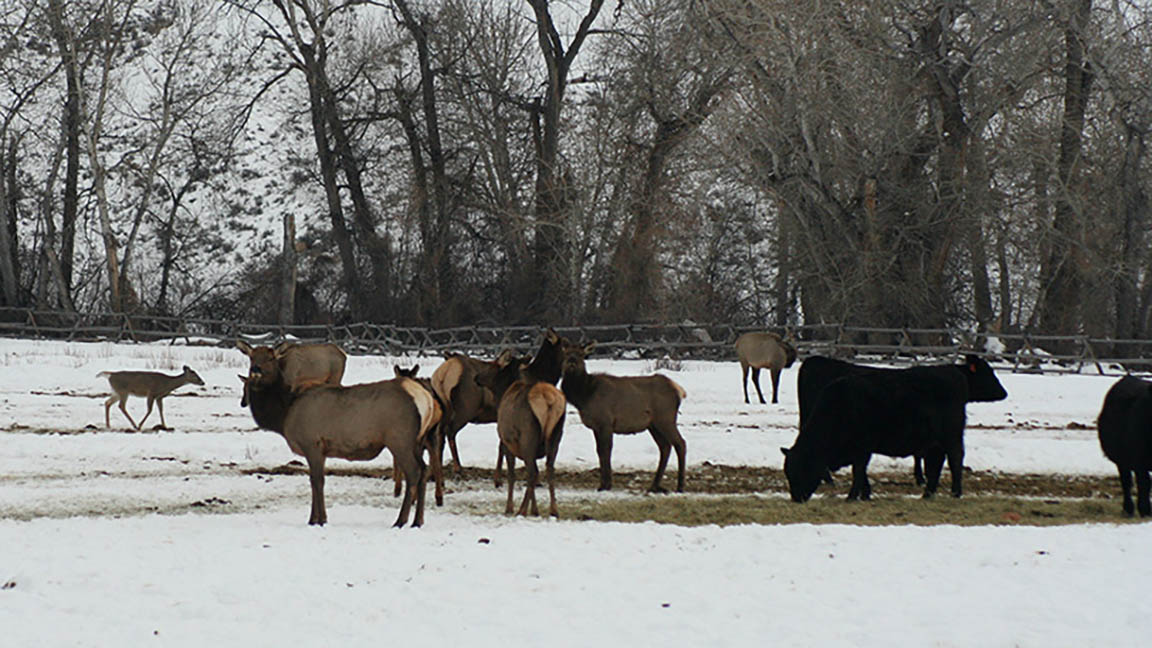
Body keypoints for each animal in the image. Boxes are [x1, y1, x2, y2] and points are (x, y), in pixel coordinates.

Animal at [241, 348, 433, 525]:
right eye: (251, 357)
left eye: (271, 358)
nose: (256, 369)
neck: (284, 413)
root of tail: (426, 399)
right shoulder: (322, 450)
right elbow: (315, 482)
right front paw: (316, 518)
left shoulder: (312, 444)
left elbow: (317, 481)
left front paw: (318, 520)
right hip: (417, 442)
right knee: (424, 470)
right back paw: (418, 521)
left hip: (400, 440)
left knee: (414, 472)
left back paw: (401, 521)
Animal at [472, 352, 566, 514]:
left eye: (492, 364)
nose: (477, 377)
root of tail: (547, 399)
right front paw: (534, 510)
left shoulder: (507, 442)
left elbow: (511, 475)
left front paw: (509, 508)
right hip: (556, 435)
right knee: (549, 469)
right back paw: (553, 510)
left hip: (528, 435)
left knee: (532, 473)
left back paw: (521, 510)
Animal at [557, 338, 681, 488]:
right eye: (566, 353)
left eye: (581, 354)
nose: (572, 361)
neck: (584, 396)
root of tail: (677, 391)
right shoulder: (596, 426)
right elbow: (599, 451)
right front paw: (603, 483)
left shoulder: (606, 422)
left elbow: (606, 450)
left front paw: (606, 484)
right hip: (653, 425)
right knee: (665, 446)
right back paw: (654, 486)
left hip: (666, 418)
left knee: (680, 443)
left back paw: (680, 486)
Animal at [783, 352, 1009, 500]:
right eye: (788, 473)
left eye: (801, 469)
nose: (796, 498)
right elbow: (862, 472)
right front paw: (865, 494)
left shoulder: (862, 447)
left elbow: (859, 470)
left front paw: (853, 495)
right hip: (935, 439)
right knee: (937, 462)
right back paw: (928, 493)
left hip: (950, 434)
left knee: (954, 457)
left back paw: (955, 492)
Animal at [1092, 373, 1147, 514]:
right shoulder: (1138, 459)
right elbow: (1143, 483)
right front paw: (1144, 510)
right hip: (1123, 459)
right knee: (1127, 482)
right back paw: (1130, 509)